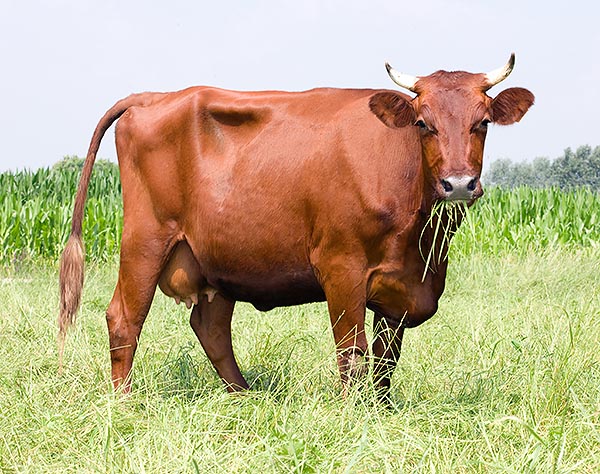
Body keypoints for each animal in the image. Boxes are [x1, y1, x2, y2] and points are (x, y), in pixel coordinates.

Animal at [58, 53, 532, 398]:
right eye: (423, 123)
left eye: (483, 122)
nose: (458, 183)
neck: (422, 243)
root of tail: (153, 96)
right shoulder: (340, 266)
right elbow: (352, 352)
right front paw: (354, 412)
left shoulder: (400, 283)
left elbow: (385, 360)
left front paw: (383, 409)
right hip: (146, 238)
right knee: (124, 318)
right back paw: (123, 403)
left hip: (216, 259)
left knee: (211, 327)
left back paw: (248, 397)